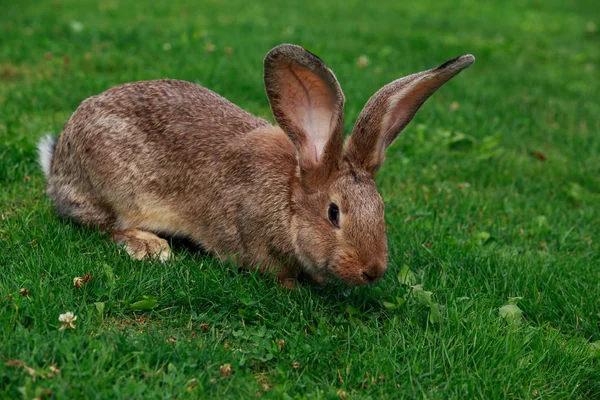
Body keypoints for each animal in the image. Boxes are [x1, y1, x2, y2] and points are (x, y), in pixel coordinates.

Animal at [38, 43, 474, 286]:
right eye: (333, 213)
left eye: (381, 209)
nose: (373, 271)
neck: (288, 197)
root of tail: (57, 162)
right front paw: (297, 286)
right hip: (114, 189)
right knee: (105, 225)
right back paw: (150, 246)